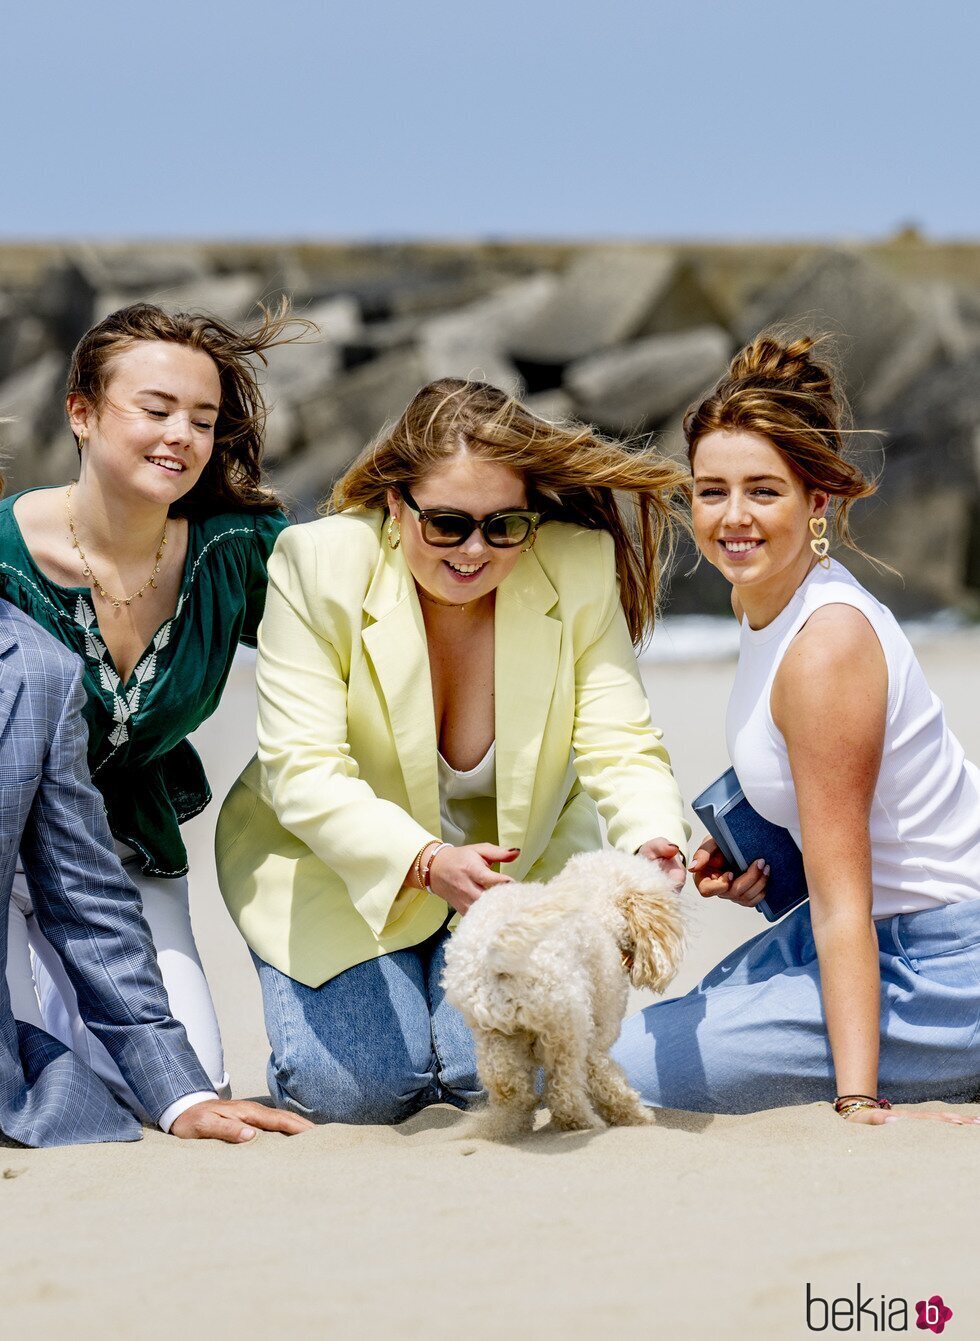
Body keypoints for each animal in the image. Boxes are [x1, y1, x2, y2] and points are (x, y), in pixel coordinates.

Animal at [442, 852, 681, 1137]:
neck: (598, 907)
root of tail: (496, 953)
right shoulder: (597, 1032)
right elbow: (604, 1077)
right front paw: (635, 1115)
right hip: (567, 1025)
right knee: (563, 1092)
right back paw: (583, 1122)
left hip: (494, 1032)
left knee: (508, 1086)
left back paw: (513, 1122)